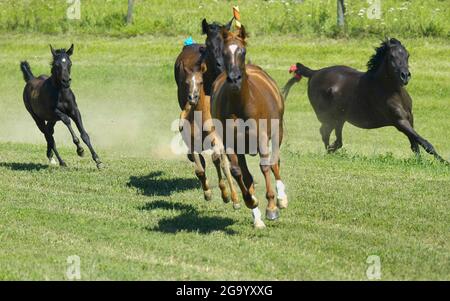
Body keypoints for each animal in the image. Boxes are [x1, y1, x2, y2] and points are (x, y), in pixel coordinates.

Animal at [174, 44, 241, 206]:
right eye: (186, 83)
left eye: (200, 82)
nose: (192, 97)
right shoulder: (191, 143)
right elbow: (200, 168)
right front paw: (208, 193)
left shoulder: (216, 139)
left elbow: (219, 161)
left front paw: (227, 195)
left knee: (223, 163)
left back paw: (233, 197)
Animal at [212, 25, 288, 227]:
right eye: (223, 52)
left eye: (242, 51)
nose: (234, 79)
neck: (242, 103)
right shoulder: (231, 142)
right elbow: (238, 172)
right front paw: (251, 202)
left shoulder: (261, 136)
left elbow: (265, 166)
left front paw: (272, 206)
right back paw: (257, 216)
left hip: (278, 130)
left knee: (274, 162)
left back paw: (281, 197)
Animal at [284, 38, 448, 164]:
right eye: (392, 56)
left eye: (407, 55)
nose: (405, 76)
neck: (392, 91)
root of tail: (314, 73)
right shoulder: (399, 121)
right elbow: (424, 142)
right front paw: (444, 163)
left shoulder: (409, 118)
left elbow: (415, 144)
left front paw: (420, 162)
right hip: (329, 117)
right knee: (325, 132)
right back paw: (329, 152)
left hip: (340, 118)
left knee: (336, 139)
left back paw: (332, 150)